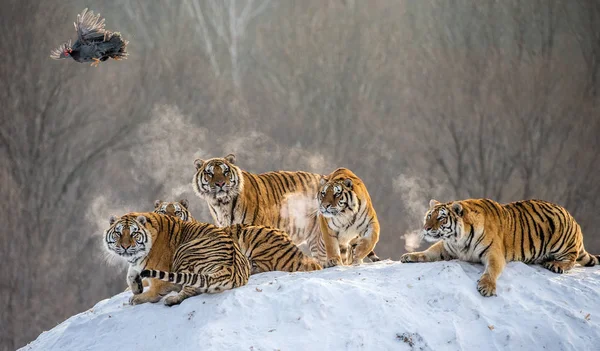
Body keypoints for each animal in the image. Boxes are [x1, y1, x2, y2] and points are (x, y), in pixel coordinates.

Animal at [104, 212, 250, 306]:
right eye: (118, 233)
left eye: (134, 233)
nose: (125, 246)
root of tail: (231, 269)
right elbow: (130, 273)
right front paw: (136, 287)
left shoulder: (159, 278)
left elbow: (155, 290)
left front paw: (137, 297)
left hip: (184, 251)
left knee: (190, 288)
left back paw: (171, 300)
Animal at [398, 199, 600, 298]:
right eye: (428, 216)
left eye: (441, 218)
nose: (426, 228)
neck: (457, 240)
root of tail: (571, 217)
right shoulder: (447, 247)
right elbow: (428, 252)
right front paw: (410, 255)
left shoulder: (494, 253)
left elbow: (491, 270)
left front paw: (487, 287)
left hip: (562, 237)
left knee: (571, 259)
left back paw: (556, 265)